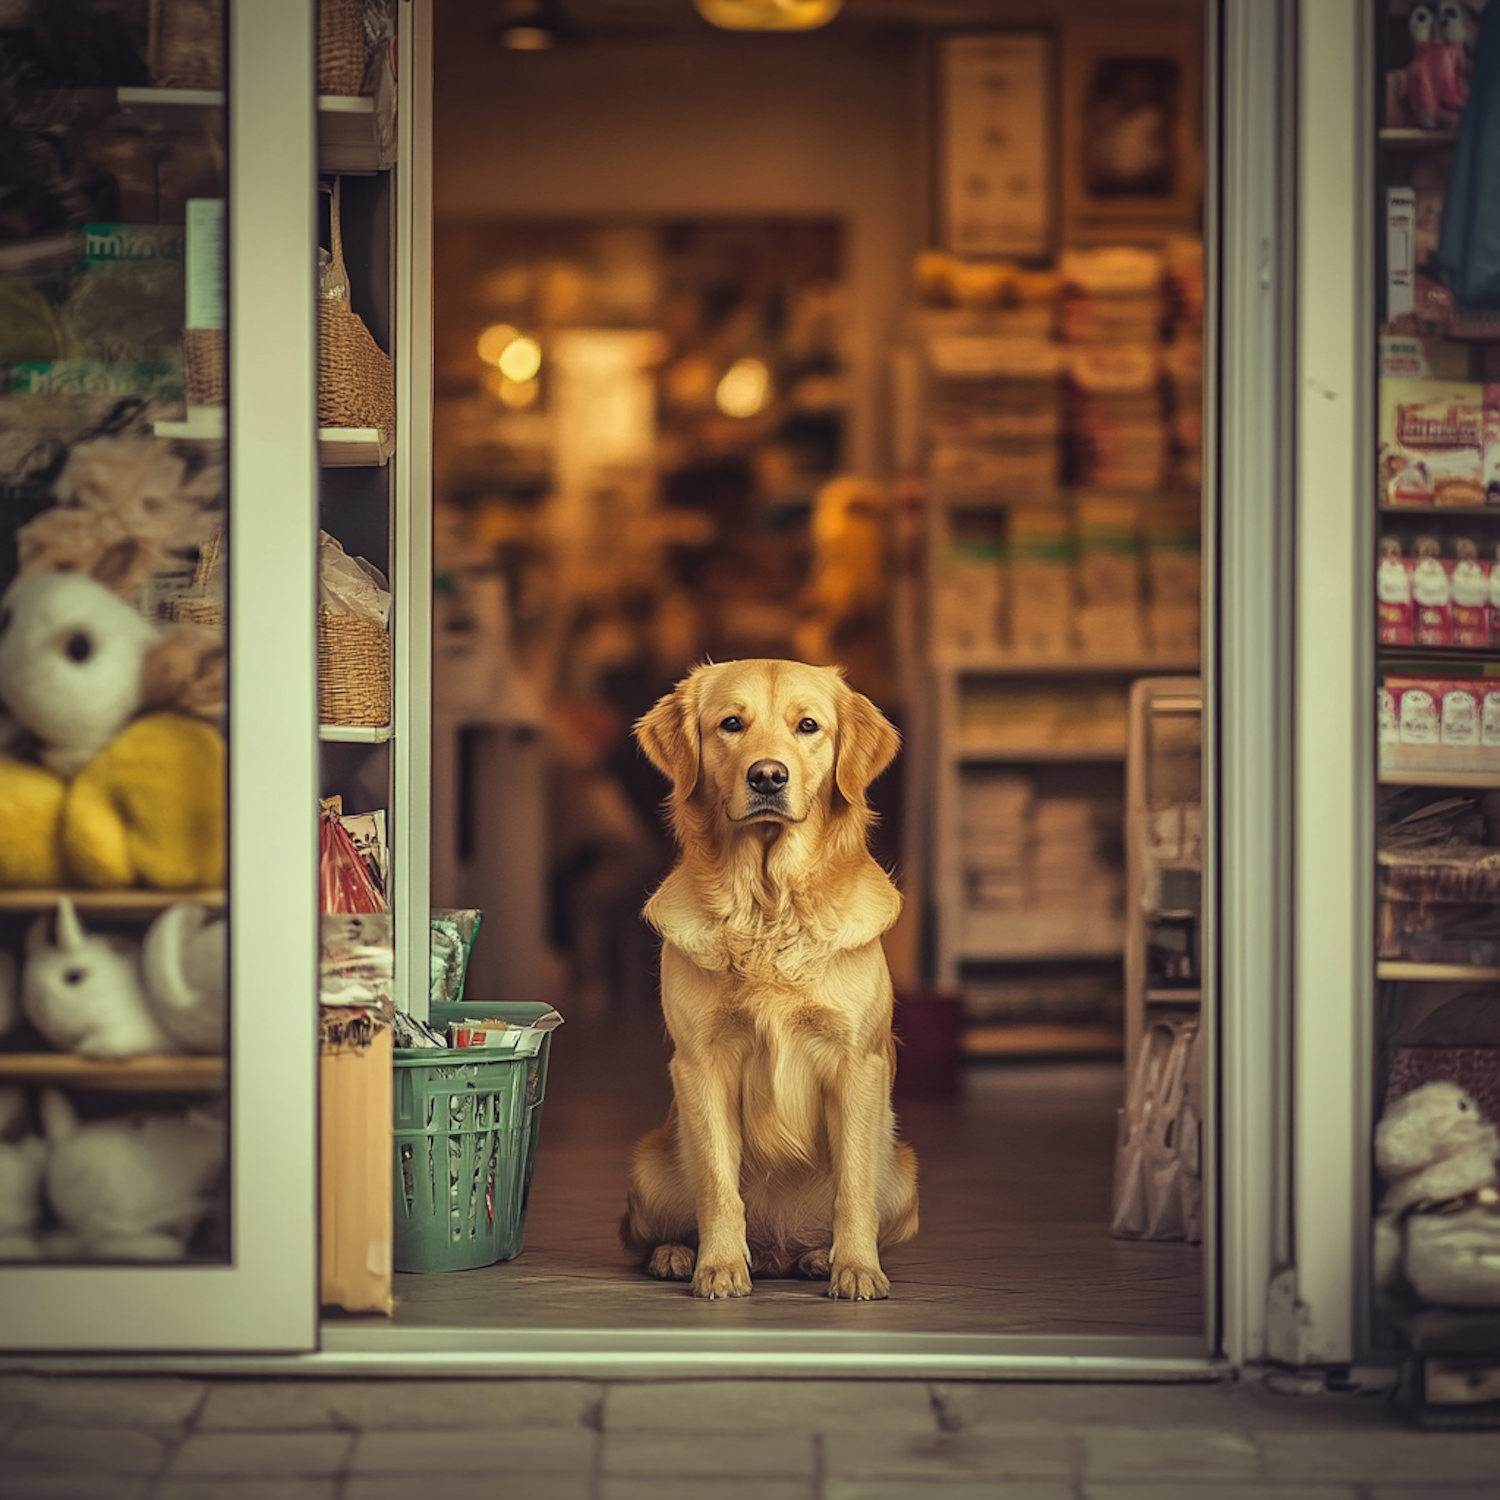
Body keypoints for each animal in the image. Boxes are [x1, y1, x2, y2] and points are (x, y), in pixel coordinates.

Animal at [618, 663, 918, 1296]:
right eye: (732, 723)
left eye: (809, 726)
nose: (768, 776)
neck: (768, 904)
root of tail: (777, 1249)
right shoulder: (702, 1062)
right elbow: (717, 1184)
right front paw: (719, 1266)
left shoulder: (858, 1063)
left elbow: (853, 1190)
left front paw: (856, 1269)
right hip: (649, 1170)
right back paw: (677, 1255)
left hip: (902, 1176)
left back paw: (817, 1256)